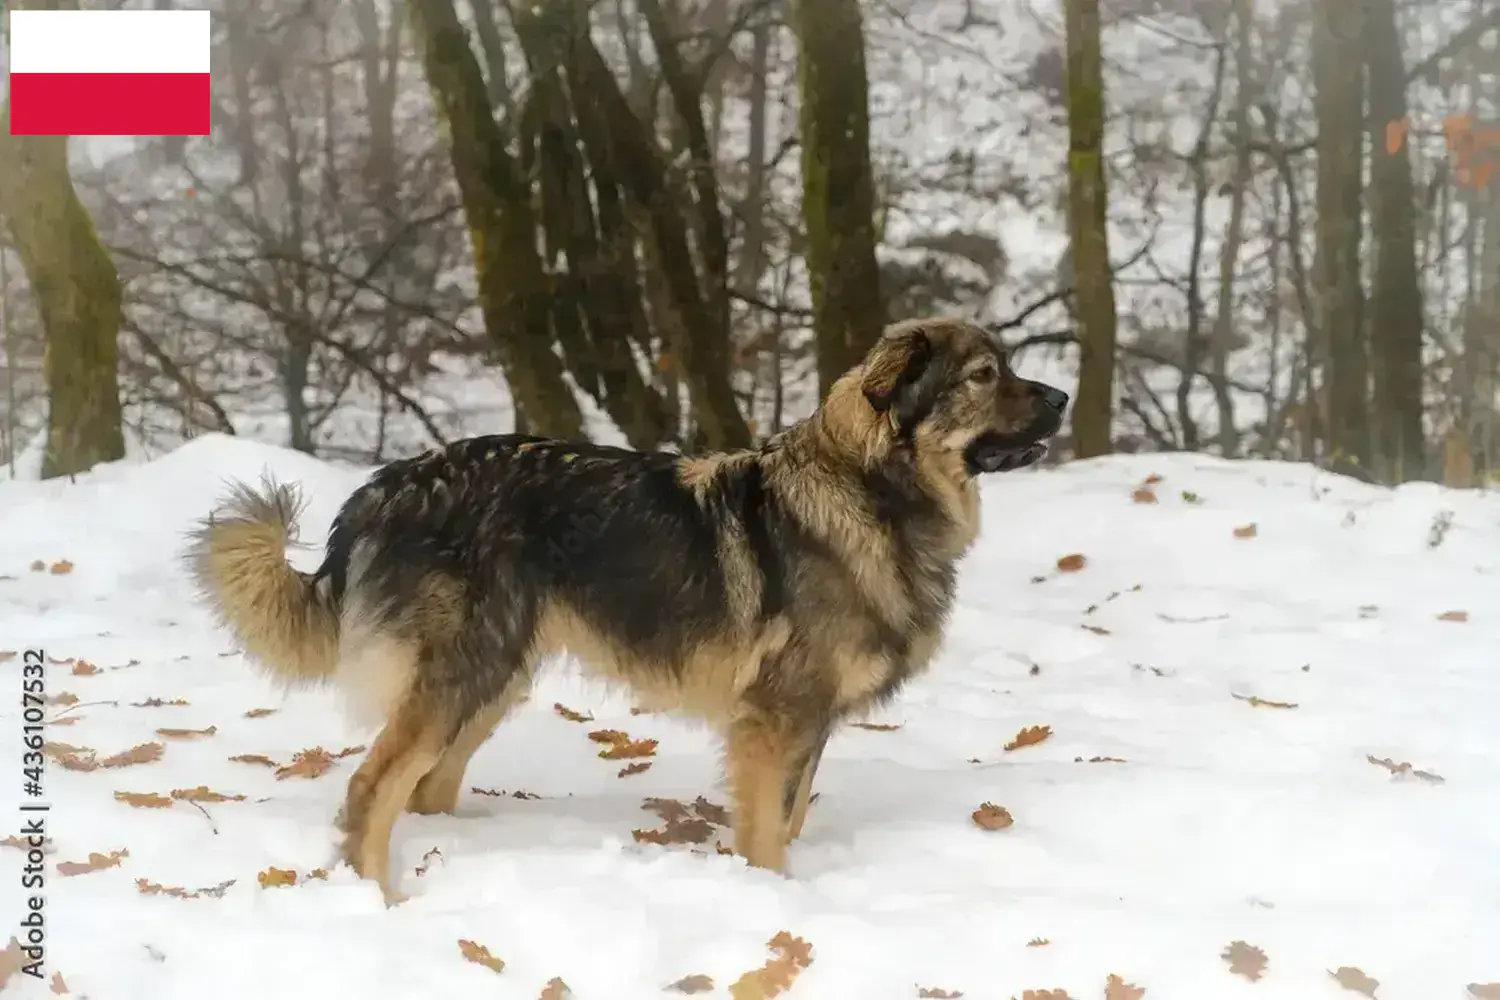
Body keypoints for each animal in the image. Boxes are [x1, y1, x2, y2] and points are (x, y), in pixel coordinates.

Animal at [184, 316, 1068, 905]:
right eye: (984, 375)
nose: (1062, 395)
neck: (868, 492)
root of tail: (386, 486)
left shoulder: (807, 727)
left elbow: (790, 820)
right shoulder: (775, 720)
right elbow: (766, 834)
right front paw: (772, 903)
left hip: (495, 679)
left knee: (427, 785)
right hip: (465, 673)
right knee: (372, 787)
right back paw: (384, 904)